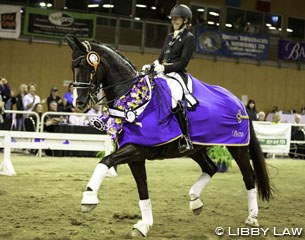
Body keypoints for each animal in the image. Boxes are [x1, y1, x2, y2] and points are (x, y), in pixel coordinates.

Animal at [66, 36, 270, 237]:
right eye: (73, 66)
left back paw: (252, 218)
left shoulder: (136, 148)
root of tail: (239, 102)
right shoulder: (135, 157)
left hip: (237, 147)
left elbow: (105, 161)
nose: (80, 103)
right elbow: (142, 189)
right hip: (195, 148)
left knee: (249, 178)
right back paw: (195, 201)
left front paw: (89, 198)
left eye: (86, 66)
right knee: (211, 167)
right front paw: (144, 225)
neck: (135, 100)